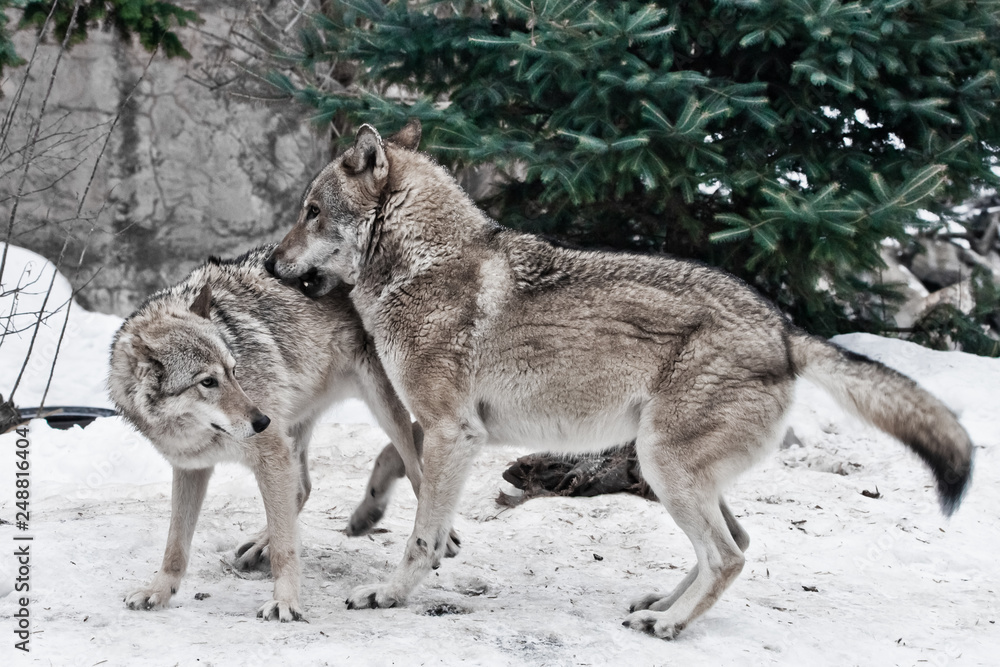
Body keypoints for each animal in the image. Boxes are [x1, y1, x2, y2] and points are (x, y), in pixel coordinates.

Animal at [108, 245, 439, 622]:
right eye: (207, 382)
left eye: (234, 371)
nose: (260, 421)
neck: (190, 432)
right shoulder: (192, 467)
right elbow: (175, 545)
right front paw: (158, 592)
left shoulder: (271, 454)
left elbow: (285, 548)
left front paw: (286, 602)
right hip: (292, 422)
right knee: (303, 488)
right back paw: (258, 544)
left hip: (379, 408)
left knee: (416, 469)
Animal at [266, 121, 974, 639]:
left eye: (311, 212)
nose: (270, 264)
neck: (420, 262)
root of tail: (784, 328)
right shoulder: (449, 430)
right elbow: (397, 467)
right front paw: (369, 516)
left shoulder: (453, 431)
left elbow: (419, 535)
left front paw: (388, 593)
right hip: (666, 469)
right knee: (737, 543)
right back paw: (659, 604)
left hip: (663, 465)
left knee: (730, 554)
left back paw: (669, 625)